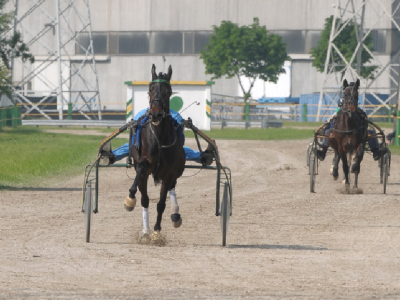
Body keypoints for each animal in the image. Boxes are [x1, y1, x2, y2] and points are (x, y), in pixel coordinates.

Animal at [123, 63, 186, 237]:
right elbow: (143, 196)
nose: (156, 113)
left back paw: (175, 214)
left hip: (177, 170)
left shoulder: (168, 173)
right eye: (150, 89)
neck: (158, 138)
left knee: (172, 187)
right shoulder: (143, 164)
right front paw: (130, 199)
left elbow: (161, 203)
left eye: (168, 91)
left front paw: (156, 232)